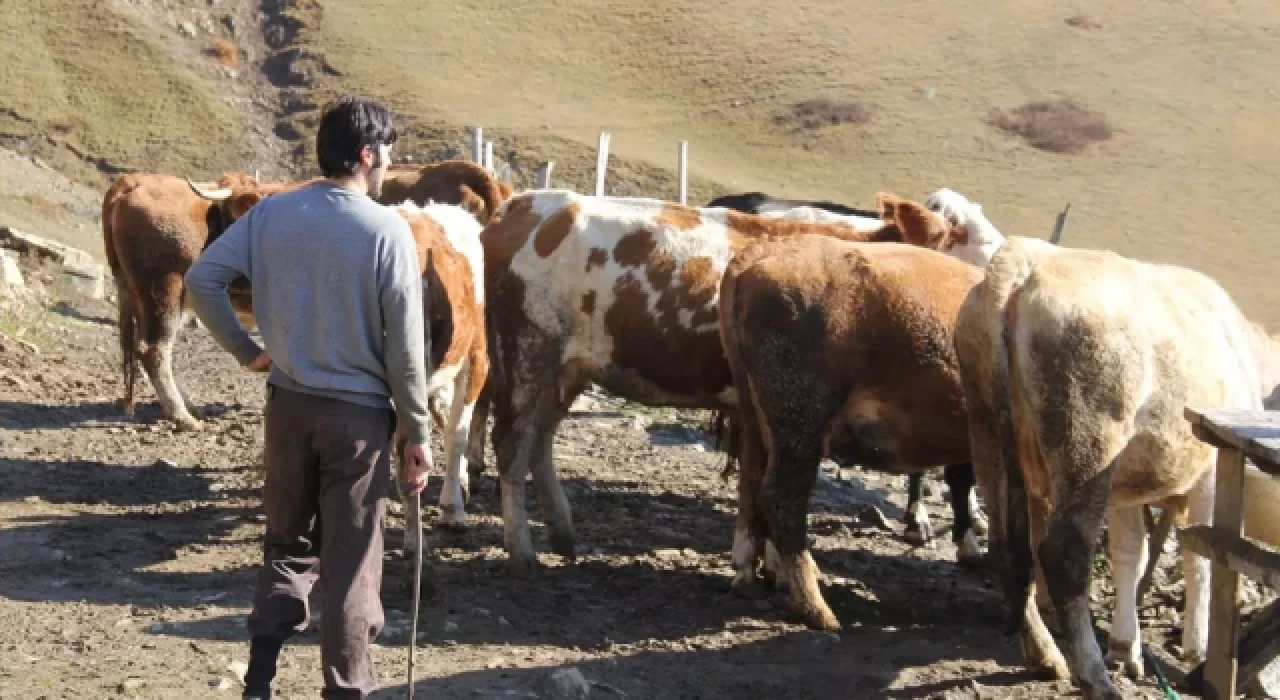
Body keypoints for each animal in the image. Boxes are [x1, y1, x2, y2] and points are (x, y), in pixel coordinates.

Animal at [476, 189, 993, 573]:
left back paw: (563, 534)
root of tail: (524, 206)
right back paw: (521, 548)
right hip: (527, 354)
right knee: (511, 443)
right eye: (963, 239)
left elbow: (757, 480)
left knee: (539, 441)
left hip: (568, 369)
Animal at [721, 238, 977, 632]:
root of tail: (763, 254)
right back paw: (814, 607)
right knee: (781, 497)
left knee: (752, 478)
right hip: (800, 422)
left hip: (758, 418)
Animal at [957, 236, 1280, 700]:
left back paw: (1045, 655)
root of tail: (1026, 258)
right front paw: (1196, 647)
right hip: (1088, 439)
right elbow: (1200, 558)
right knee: (1064, 553)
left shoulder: (1124, 489)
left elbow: (1131, 553)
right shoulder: (1211, 466)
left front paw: (1127, 647)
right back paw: (1094, 678)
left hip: (988, 433)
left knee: (1008, 548)